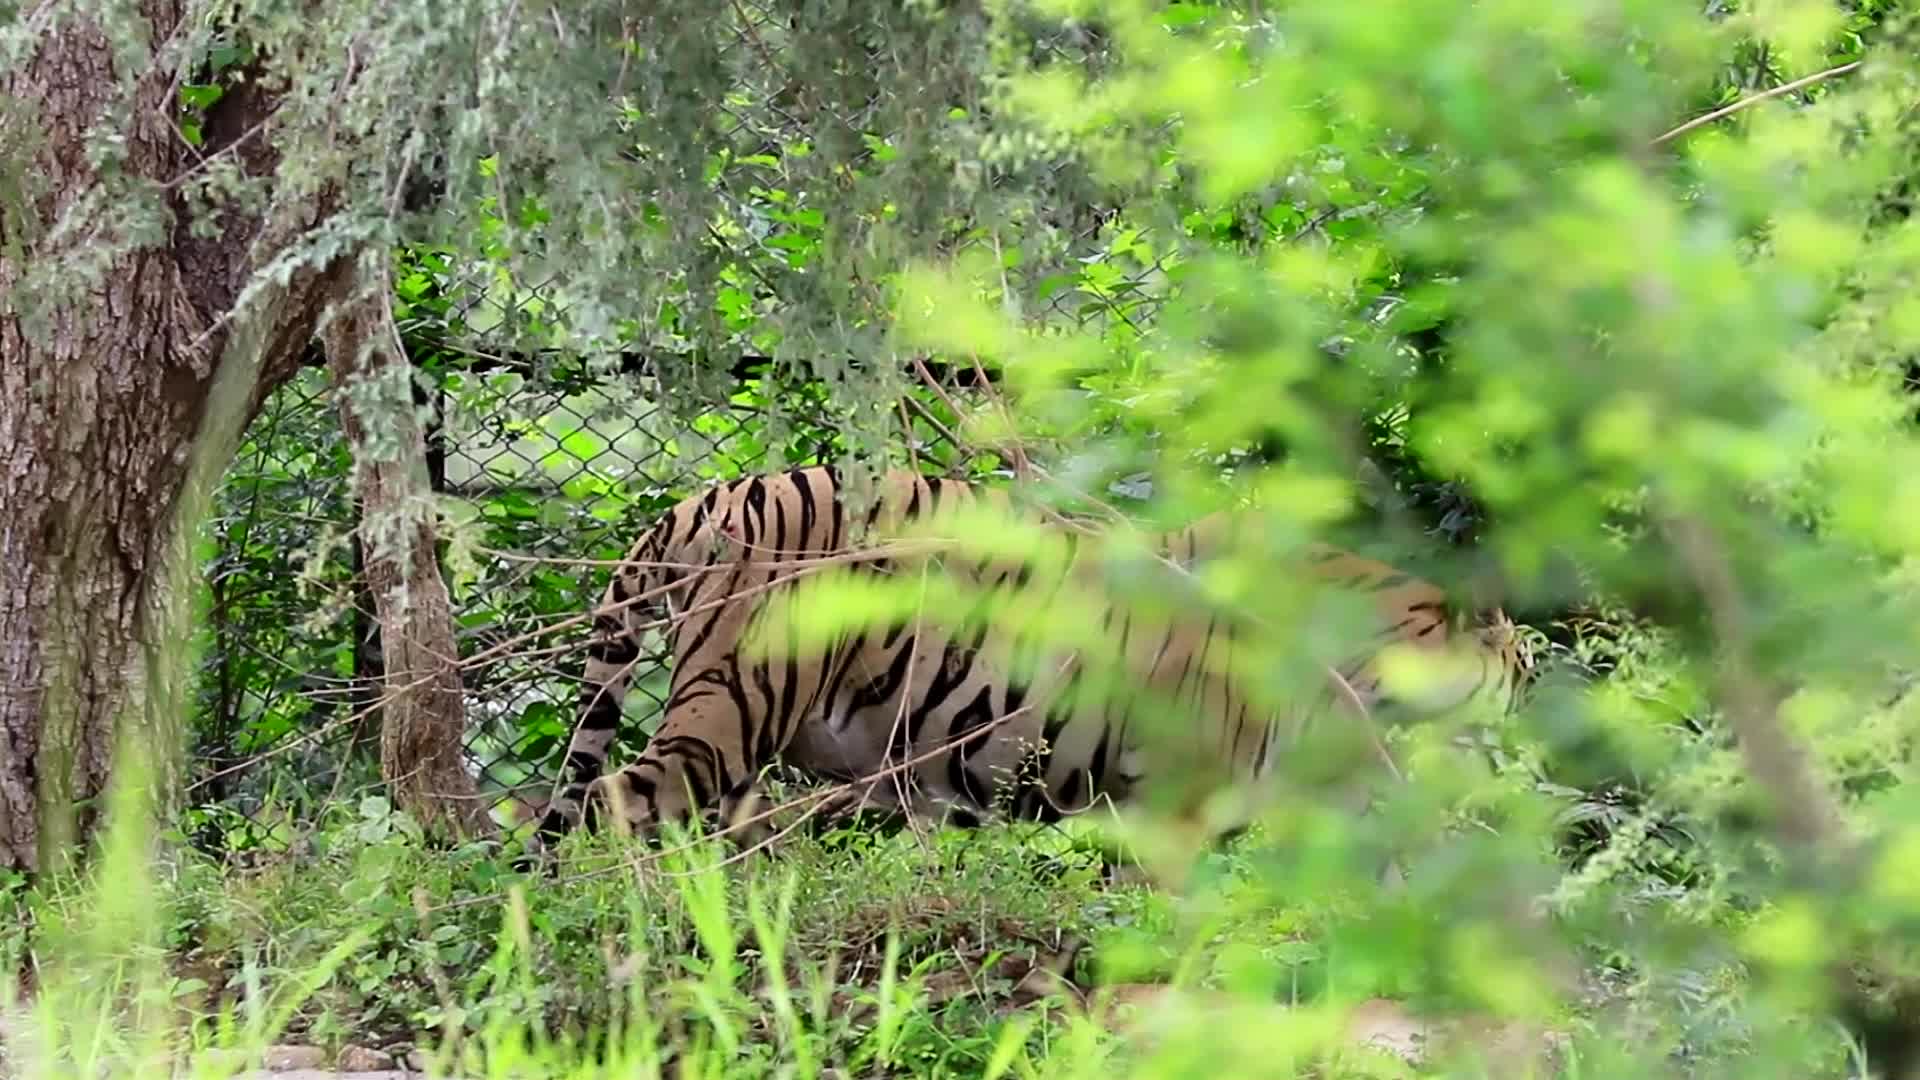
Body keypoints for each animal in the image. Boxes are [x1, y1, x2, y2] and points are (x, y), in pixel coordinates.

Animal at [524, 465, 1532, 865]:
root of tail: (700, 497)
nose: (1518, 752)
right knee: (609, 806)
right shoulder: (1181, 803)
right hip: (730, 709)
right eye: (1515, 680)